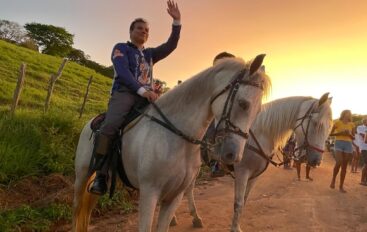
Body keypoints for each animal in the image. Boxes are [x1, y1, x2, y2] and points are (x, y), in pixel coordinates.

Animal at [73, 55, 272, 231]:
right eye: (243, 104)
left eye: (258, 112)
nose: (234, 155)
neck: (177, 139)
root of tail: (91, 122)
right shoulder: (149, 193)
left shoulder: (175, 196)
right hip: (82, 176)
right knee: (77, 209)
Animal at [175, 94, 334, 232]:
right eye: (316, 124)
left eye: (329, 127)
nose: (316, 160)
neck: (260, 133)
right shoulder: (242, 172)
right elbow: (238, 203)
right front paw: (235, 229)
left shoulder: (255, 176)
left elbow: (244, 200)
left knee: (188, 188)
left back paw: (195, 218)